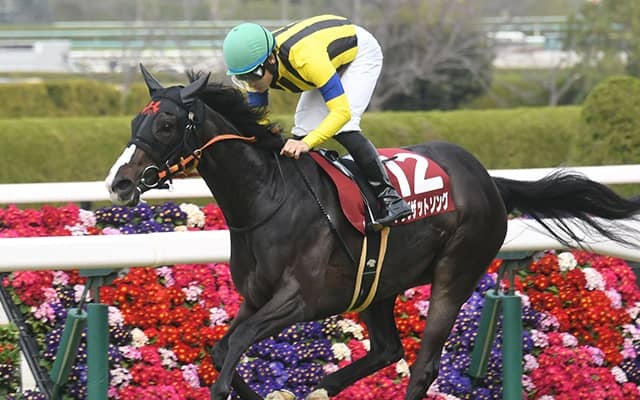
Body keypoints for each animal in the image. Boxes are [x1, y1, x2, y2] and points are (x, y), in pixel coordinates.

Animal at [105, 65, 640, 400]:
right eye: (133, 121)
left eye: (168, 123)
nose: (119, 182)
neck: (268, 198)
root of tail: (489, 179)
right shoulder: (256, 297)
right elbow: (222, 349)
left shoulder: (301, 299)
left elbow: (236, 348)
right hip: (378, 284)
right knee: (388, 349)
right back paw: (322, 389)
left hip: (456, 272)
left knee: (422, 366)